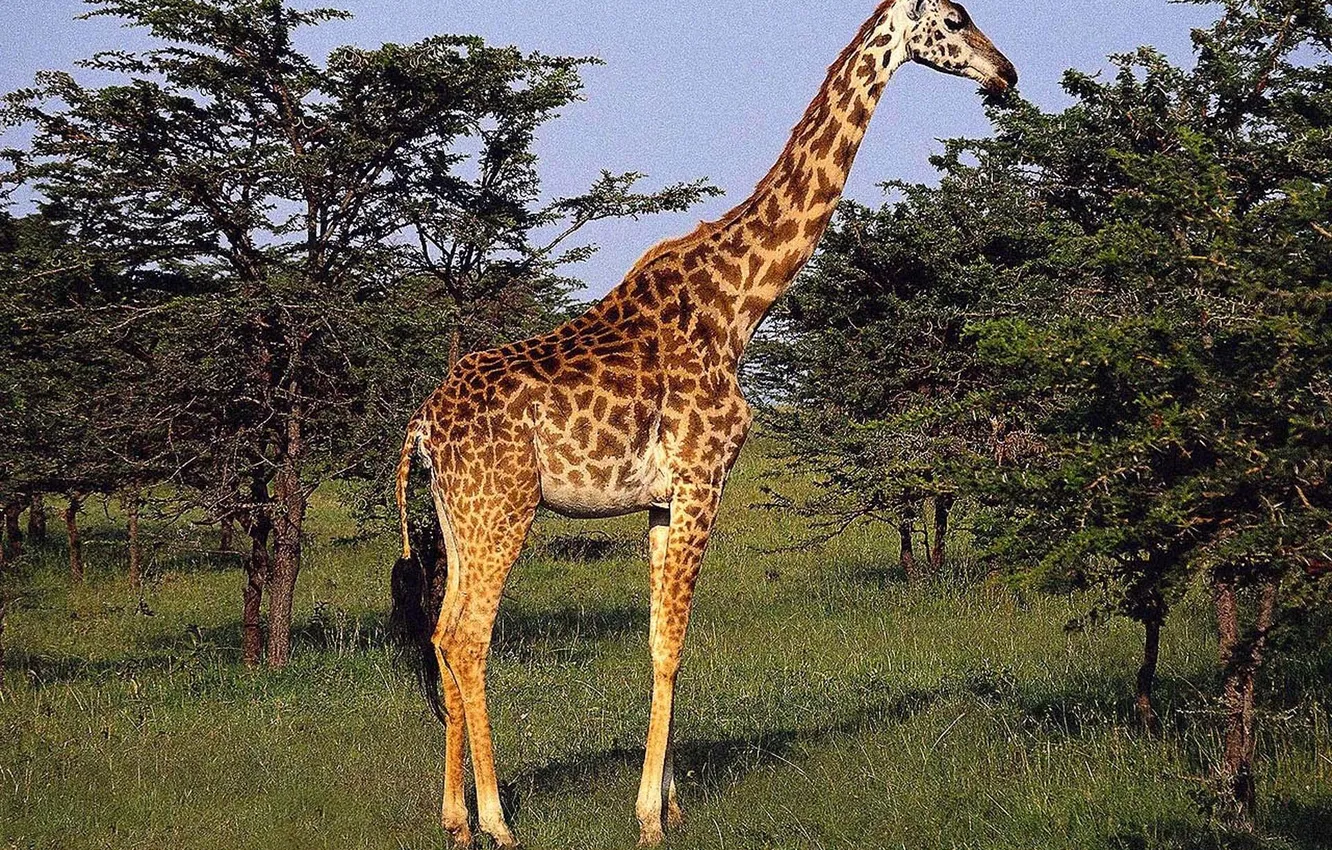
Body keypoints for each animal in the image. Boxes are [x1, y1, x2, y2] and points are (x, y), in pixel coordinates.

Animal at [393, 1, 1016, 845]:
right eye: (954, 19)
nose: (1006, 74)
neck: (739, 303)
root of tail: (421, 425)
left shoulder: (663, 497)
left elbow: (662, 641)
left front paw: (673, 803)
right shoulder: (703, 477)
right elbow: (673, 644)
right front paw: (648, 817)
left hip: (461, 515)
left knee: (440, 630)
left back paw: (454, 818)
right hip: (504, 507)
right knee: (467, 636)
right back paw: (496, 821)